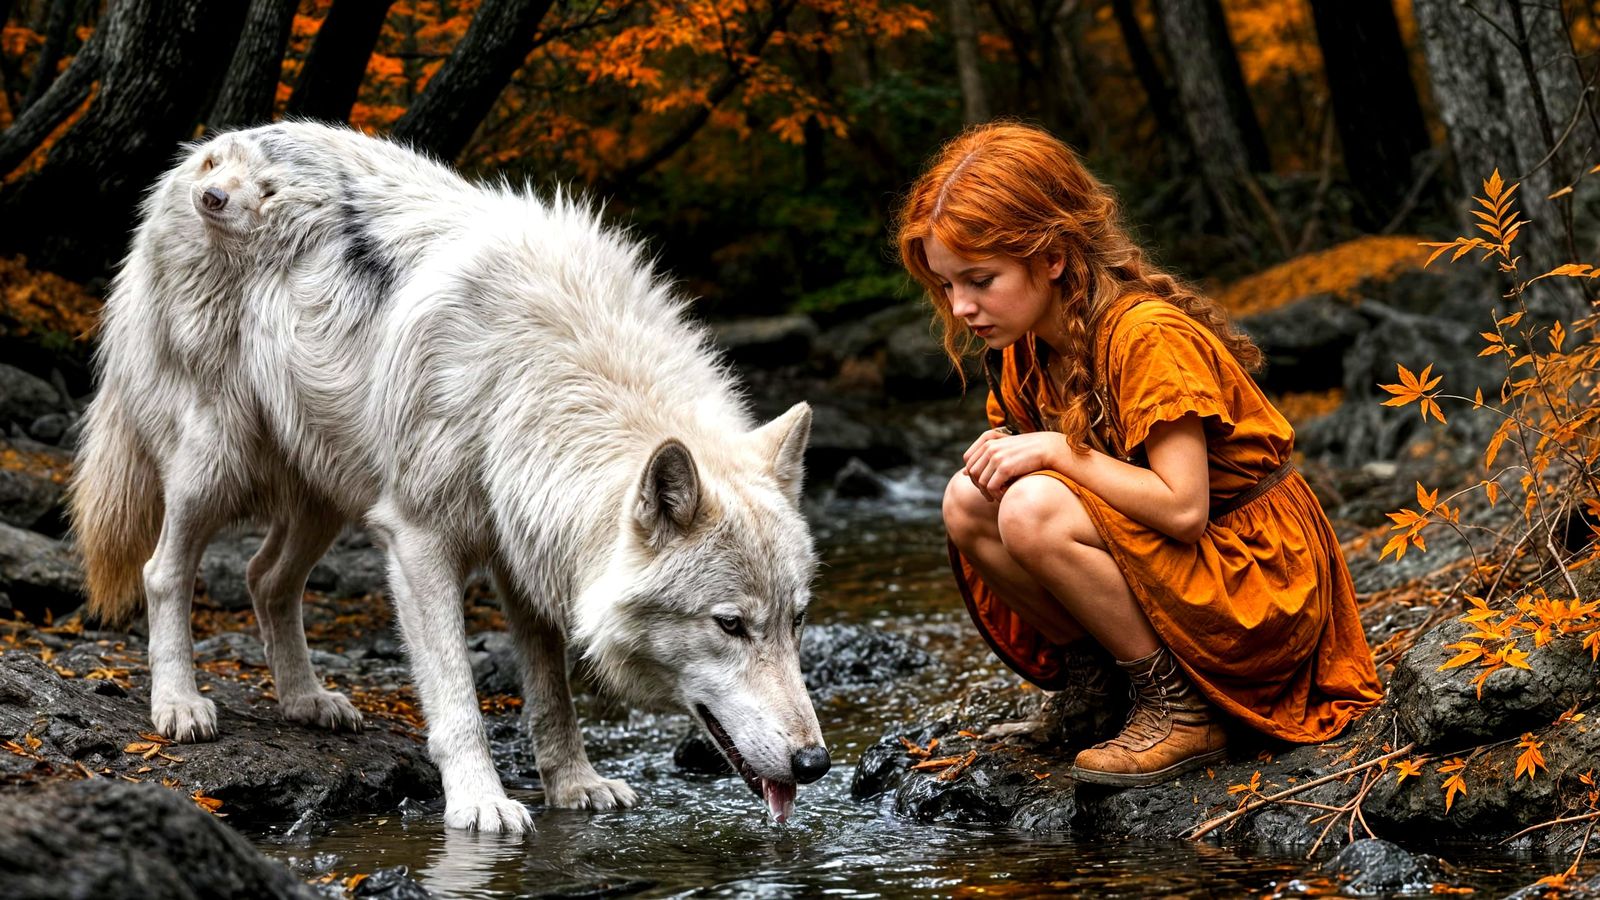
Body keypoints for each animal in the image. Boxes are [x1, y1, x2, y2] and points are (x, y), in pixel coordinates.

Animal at [69, 121, 829, 831]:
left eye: (796, 620)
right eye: (729, 625)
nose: (814, 763)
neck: (541, 375)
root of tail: (198, 156)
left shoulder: (527, 546)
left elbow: (551, 697)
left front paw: (574, 786)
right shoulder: (419, 543)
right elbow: (459, 697)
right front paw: (480, 803)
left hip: (328, 492)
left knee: (264, 578)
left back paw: (306, 700)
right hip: (216, 462)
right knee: (162, 572)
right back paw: (179, 703)